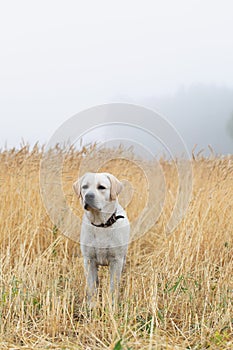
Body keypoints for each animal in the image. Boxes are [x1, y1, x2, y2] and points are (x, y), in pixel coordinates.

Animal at [73, 172, 130, 304]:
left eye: (101, 187)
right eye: (84, 187)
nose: (88, 196)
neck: (101, 224)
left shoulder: (116, 261)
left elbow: (113, 287)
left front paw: (112, 305)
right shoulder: (89, 260)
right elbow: (92, 286)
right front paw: (92, 305)